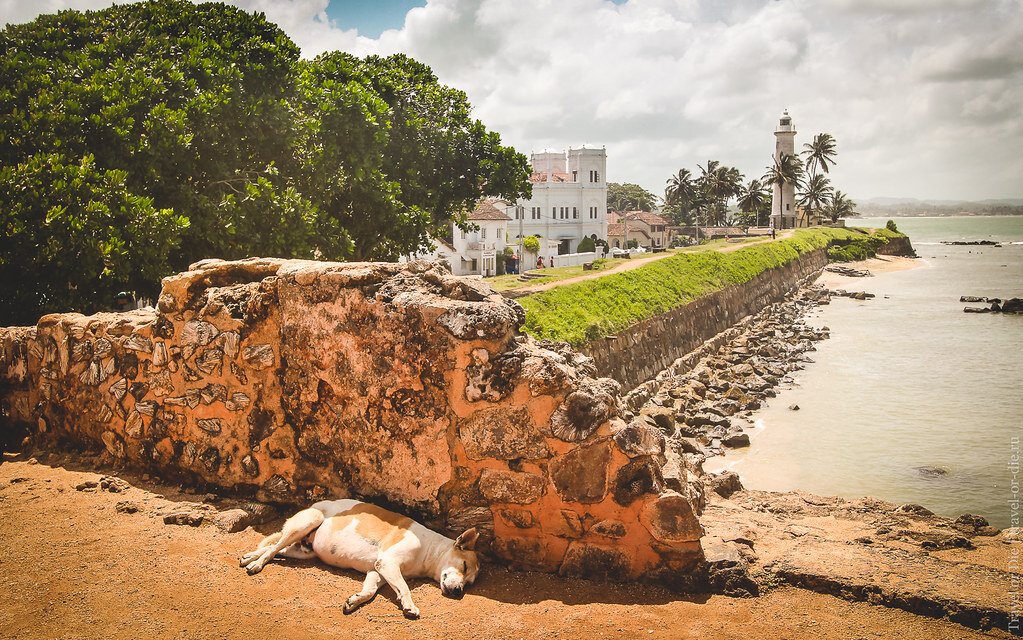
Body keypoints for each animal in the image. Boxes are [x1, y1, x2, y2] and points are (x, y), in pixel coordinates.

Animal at [238, 496, 478, 617]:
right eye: (465, 566)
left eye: (470, 582)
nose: (459, 591)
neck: (429, 551)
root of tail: (315, 504)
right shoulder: (388, 563)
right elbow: (405, 589)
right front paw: (409, 606)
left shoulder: (378, 570)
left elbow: (370, 591)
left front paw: (354, 600)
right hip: (308, 522)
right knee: (273, 548)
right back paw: (256, 564)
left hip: (304, 552)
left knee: (277, 548)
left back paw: (249, 557)